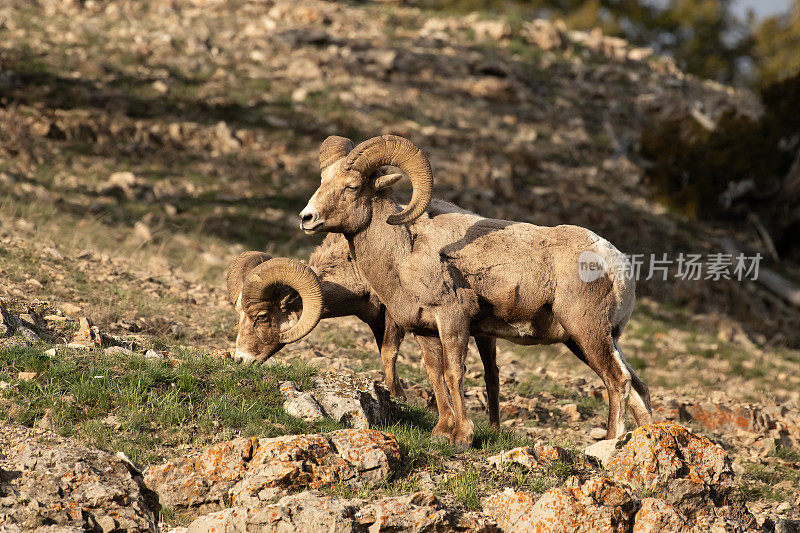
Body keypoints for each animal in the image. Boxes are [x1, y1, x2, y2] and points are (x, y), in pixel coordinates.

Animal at [225, 205, 500, 424]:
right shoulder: (376, 323)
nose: (240, 360)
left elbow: (389, 354)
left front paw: (397, 397)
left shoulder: (392, 319)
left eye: (261, 316)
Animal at [300, 133, 648, 444]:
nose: (307, 218)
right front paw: (442, 432)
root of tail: (617, 264)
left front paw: (462, 437)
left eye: (352, 186)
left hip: (587, 333)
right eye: (322, 181)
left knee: (617, 381)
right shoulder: (425, 330)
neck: (405, 253)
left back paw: (610, 443)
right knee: (637, 387)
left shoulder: (454, 320)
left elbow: (454, 372)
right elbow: (435, 373)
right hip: (592, 340)